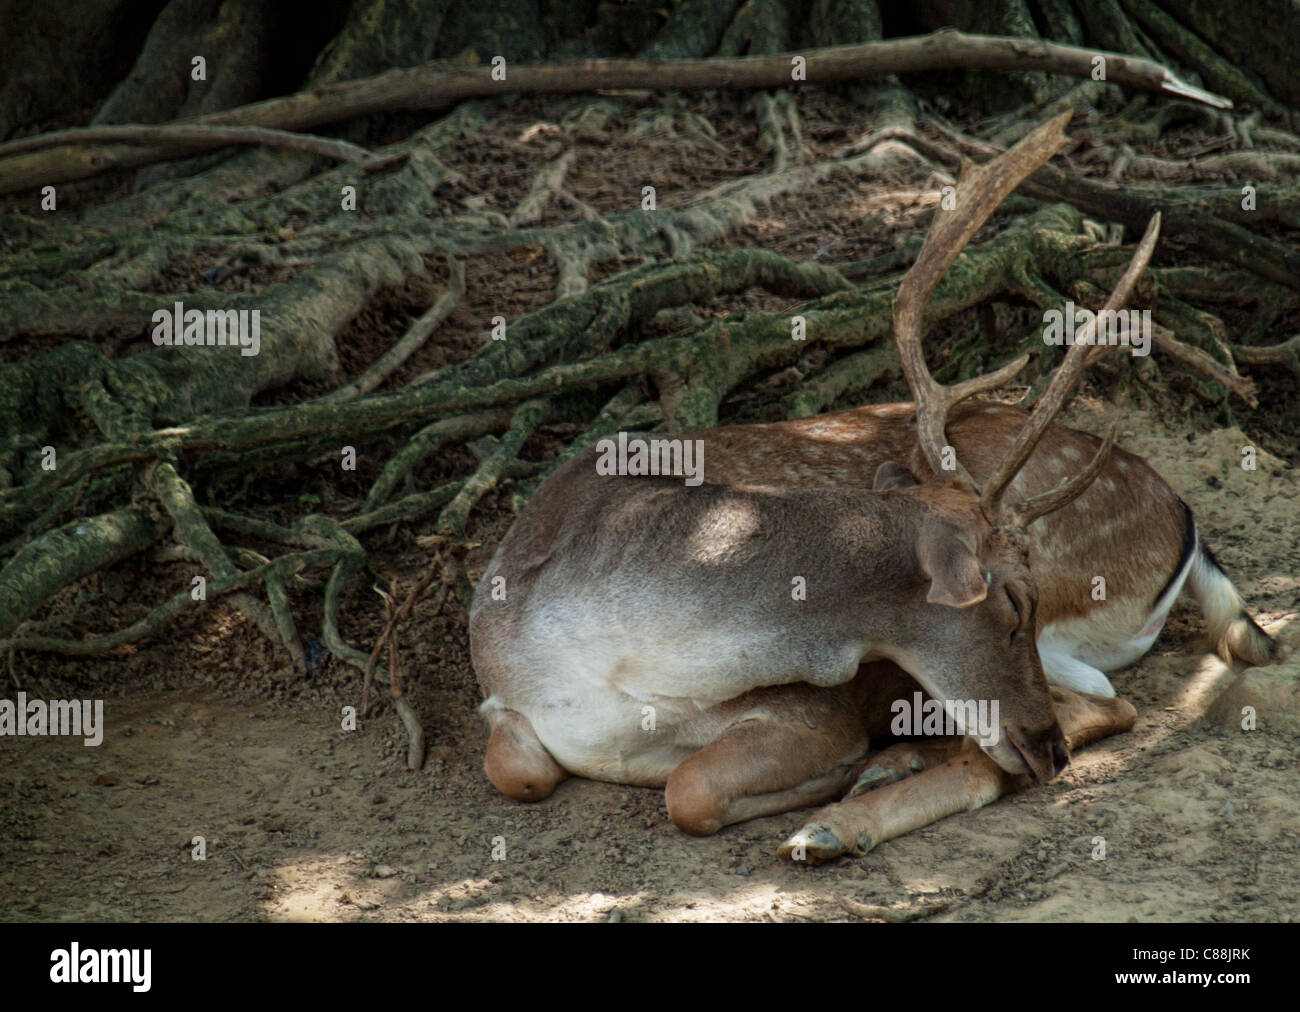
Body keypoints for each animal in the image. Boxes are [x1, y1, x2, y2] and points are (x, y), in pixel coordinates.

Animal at [465, 116, 1268, 858]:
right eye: (1013, 603)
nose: (1049, 749)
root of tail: (1184, 516)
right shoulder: (499, 697)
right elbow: (518, 772)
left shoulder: (813, 708)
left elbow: (687, 786)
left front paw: (833, 779)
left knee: (1103, 710)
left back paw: (841, 816)